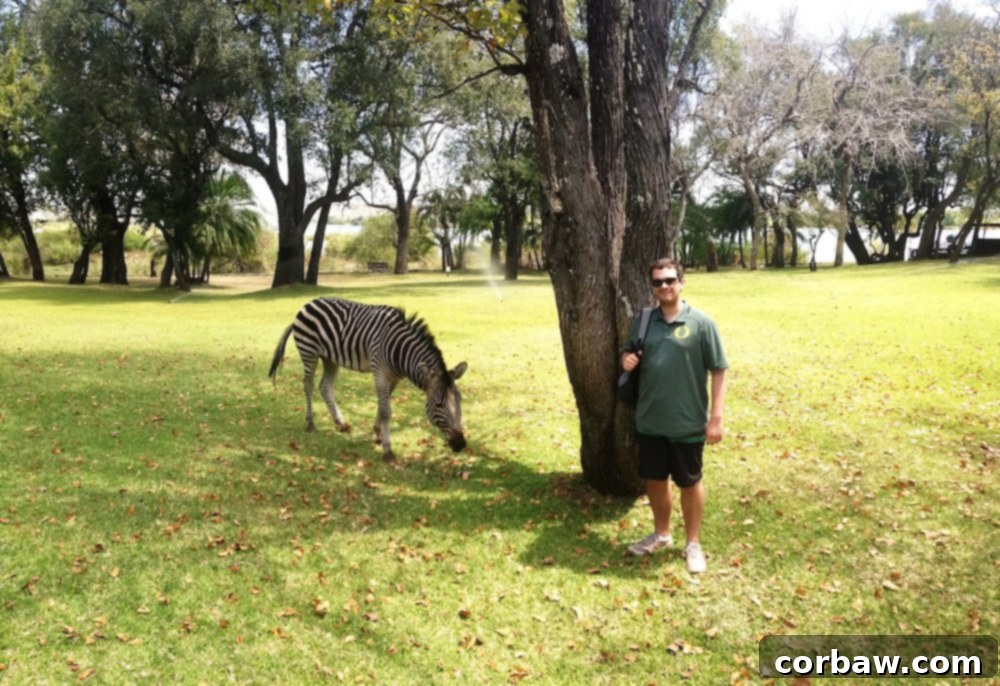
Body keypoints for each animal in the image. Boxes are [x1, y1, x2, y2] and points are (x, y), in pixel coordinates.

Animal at [269, 297, 468, 462]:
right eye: (438, 404)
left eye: (459, 400)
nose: (461, 444)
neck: (400, 352)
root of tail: (308, 303)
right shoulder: (380, 373)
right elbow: (386, 410)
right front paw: (388, 450)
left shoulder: (394, 378)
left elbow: (382, 405)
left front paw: (378, 434)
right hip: (309, 352)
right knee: (308, 385)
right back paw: (310, 423)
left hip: (330, 358)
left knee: (325, 387)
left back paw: (341, 424)